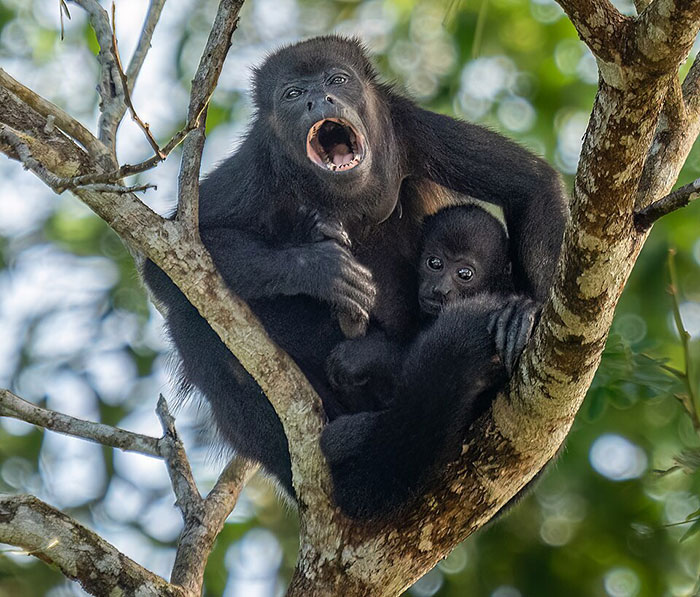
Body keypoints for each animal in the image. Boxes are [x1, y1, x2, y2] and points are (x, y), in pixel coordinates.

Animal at [143, 36, 567, 517]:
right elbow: (166, 268)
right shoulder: (260, 164)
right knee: (191, 317)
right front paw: (322, 269)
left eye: (337, 80)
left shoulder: (407, 126)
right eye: (292, 94)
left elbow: (531, 184)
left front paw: (528, 311)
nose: (317, 100)